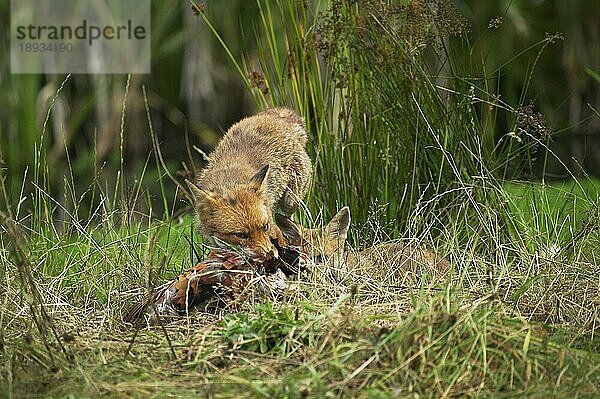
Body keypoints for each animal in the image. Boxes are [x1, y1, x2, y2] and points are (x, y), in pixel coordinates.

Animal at [188, 108, 312, 260]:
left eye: (265, 227)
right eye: (240, 235)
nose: (270, 255)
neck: (229, 182)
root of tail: (275, 117)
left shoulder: (273, 226)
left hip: (290, 201)